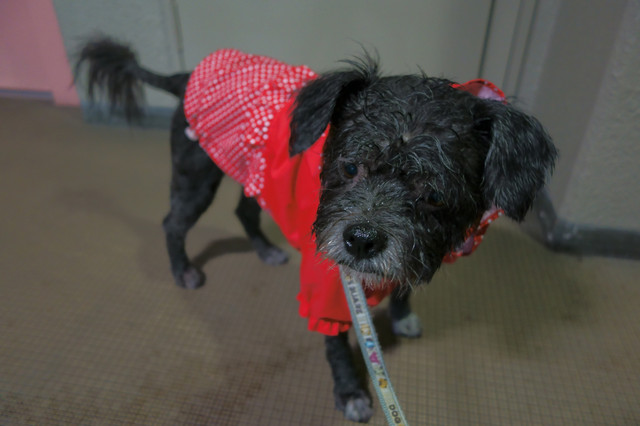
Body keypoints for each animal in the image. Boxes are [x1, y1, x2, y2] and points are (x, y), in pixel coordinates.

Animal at [75, 37, 556, 423]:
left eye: (435, 195)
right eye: (349, 167)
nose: (360, 240)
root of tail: (185, 75)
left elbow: (402, 287)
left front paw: (401, 316)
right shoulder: (331, 288)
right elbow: (337, 344)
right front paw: (352, 394)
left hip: (252, 176)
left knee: (244, 212)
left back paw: (265, 250)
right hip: (196, 177)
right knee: (172, 222)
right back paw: (183, 271)